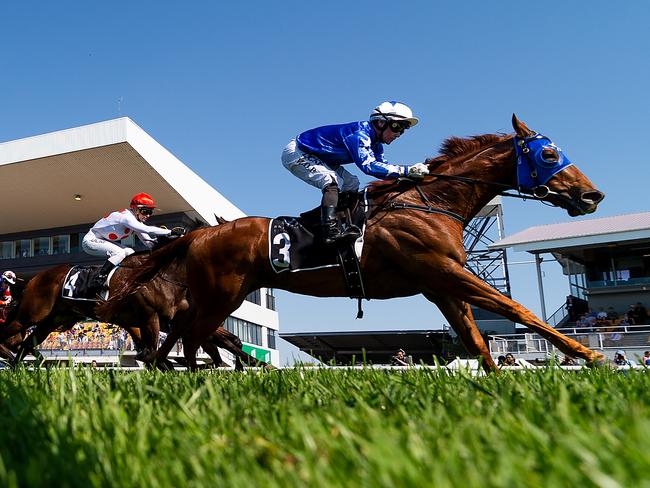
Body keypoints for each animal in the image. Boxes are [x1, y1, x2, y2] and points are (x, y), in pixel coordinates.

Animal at [101, 116, 604, 372]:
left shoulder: (440, 283)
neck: (431, 203)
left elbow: (476, 339)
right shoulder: (445, 271)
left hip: (216, 296)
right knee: (194, 337)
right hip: (222, 295)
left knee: (185, 335)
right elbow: (517, 310)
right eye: (549, 154)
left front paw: (497, 387)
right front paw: (588, 354)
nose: (591, 195)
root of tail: (201, 231)